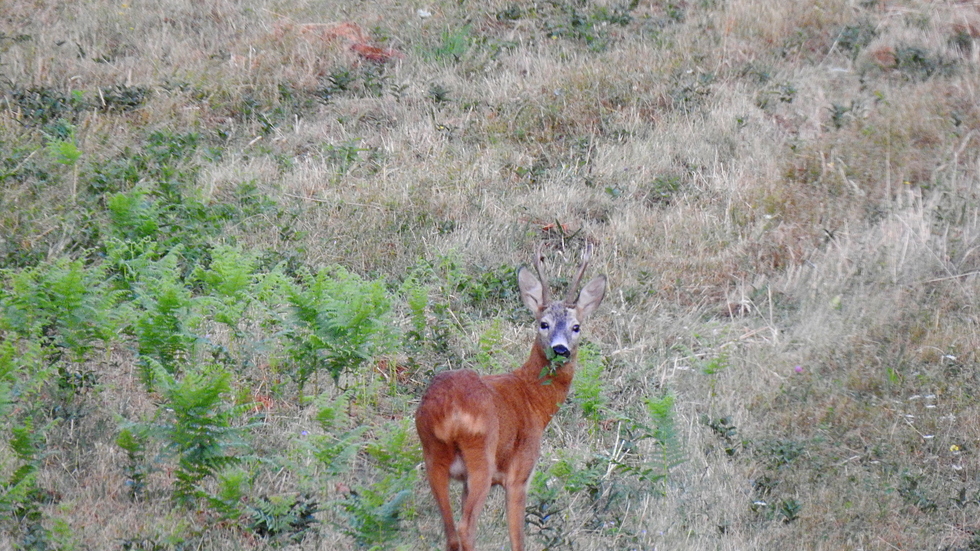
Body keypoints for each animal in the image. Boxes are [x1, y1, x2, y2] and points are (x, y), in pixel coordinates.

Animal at [414, 246, 604, 551]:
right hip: (481, 455)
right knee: (466, 528)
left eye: (576, 327)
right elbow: (518, 538)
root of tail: (449, 411)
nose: (560, 349)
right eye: (544, 324)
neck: (534, 401)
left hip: (433, 455)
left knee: (450, 531)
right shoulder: (520, 473)